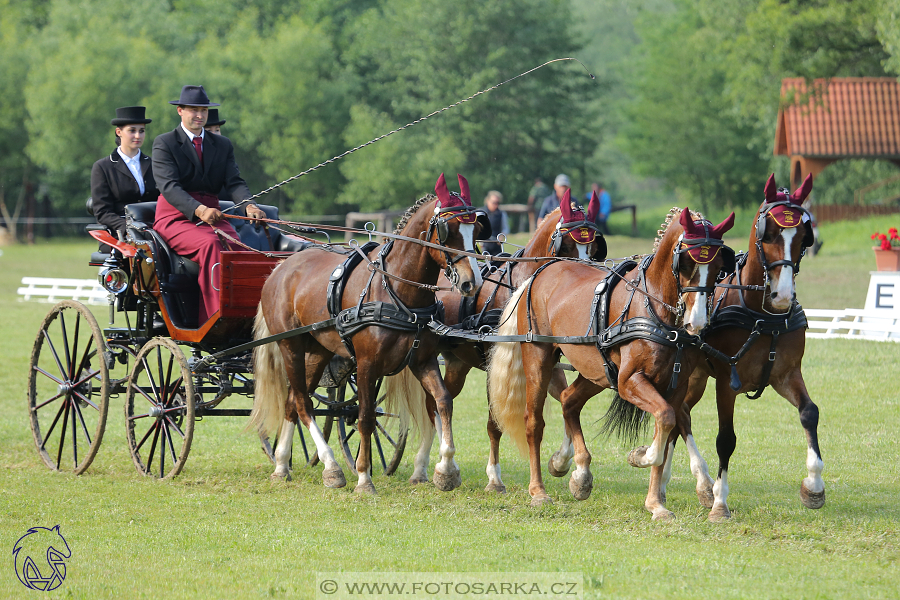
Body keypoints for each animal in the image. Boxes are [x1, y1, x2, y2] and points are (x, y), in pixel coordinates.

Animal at [246, 173, 486, 492]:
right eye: (448, 230)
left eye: (477, 228)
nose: (472, 283)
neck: (397, 292)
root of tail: (279, 268)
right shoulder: (367, 364)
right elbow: (365, 417)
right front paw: (363, 476)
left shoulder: (422, 360)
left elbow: (443, 402)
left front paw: (445, 469)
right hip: (290, 346)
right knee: (302, 402)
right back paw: (331, 467)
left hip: (319, 351)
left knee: (292, 402)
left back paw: (283, 465)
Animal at [392, 191, 604, 492]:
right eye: (567, 245)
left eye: (594, 247)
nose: (585, 281)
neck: (519, 288)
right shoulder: (496, 364)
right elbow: (494, 423)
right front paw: (494, 477)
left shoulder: (545, 360)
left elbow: (565, 400)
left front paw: (561, 461)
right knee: (434, 405)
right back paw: (431, 465)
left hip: (457, 363)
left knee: (436, 402)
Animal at [488, 207, 736, 516]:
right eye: (687, 263)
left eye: (718, 268)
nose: (698, 322)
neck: (656, 309)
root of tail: (539, 273)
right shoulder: (629, 381)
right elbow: (666, 419)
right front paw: (642, 456)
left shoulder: (674, 386)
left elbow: (667, 425)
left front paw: (655, 503)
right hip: (539, 358)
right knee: (534, 422)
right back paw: (538, 491)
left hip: (598, 371)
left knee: (570, 400)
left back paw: (579, 473)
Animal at [632, 173, 824, 520]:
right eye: (769, 233)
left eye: (804, 236)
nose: (783, 295)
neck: (763, 316)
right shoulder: (725, 381)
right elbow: (726, 439)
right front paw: (720, 503)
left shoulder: (786, 374)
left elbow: (809, 413)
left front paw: (814, 486)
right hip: (694, 376)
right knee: (681, 417)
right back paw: (697, 483)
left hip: (693, 377)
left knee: (678, 416)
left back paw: (670, 483)